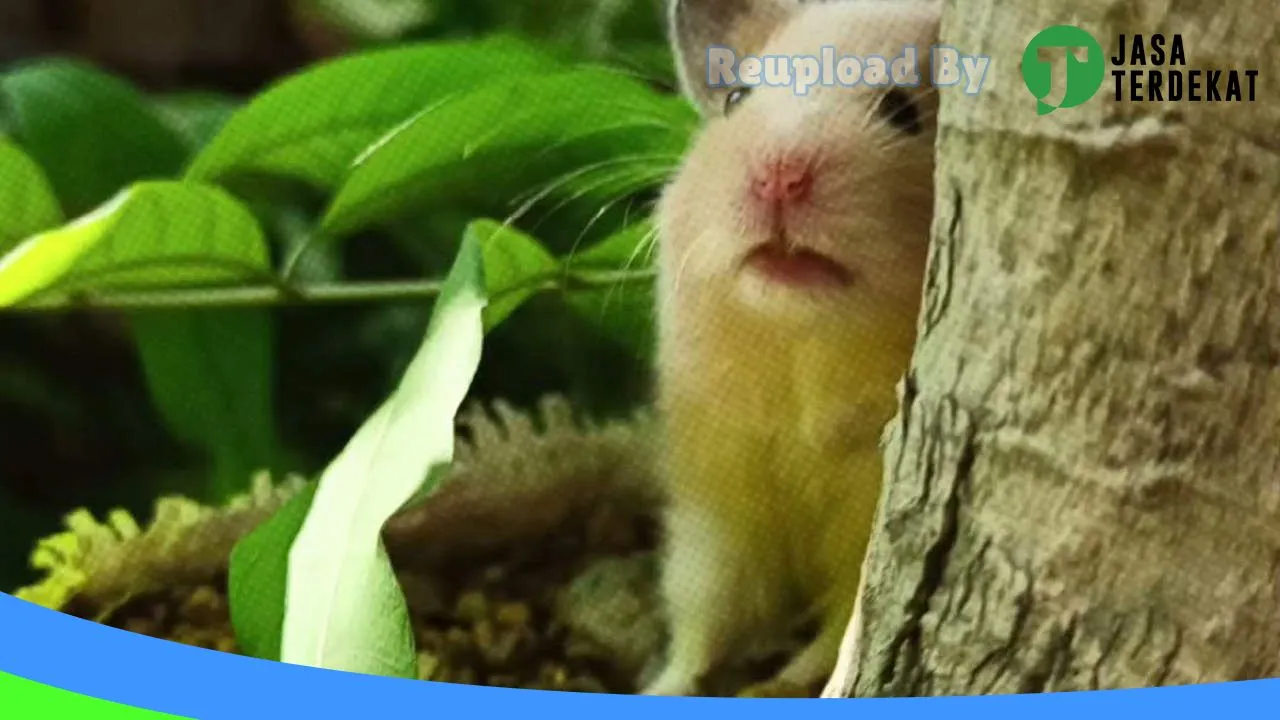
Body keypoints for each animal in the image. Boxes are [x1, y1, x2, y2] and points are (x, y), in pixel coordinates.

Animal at [642, 0, 940, 697]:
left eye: (902, 111)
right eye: (738, 98)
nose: (778, 176)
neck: (809, 345)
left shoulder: (863, 529)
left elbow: (842, 627)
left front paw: (775, 684)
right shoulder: (719, 490)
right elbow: (705, 604)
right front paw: (663, 687)